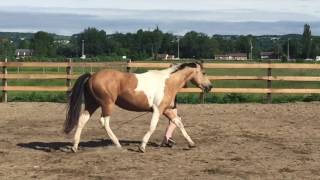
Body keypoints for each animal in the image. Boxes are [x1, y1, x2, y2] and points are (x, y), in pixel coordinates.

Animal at [63, 61, 212, 153]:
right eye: (204, 73)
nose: (210, 87)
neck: (168, 82)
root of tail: (92, 76)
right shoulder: (158, 110)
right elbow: (152, 127)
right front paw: (142, 146)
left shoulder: (167, 110)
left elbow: (179, 123)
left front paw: (191, 143)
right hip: (107, 104)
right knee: (104, 122)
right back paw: (117, 144)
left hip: (92, 104)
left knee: (82, 120)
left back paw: (75, 147)